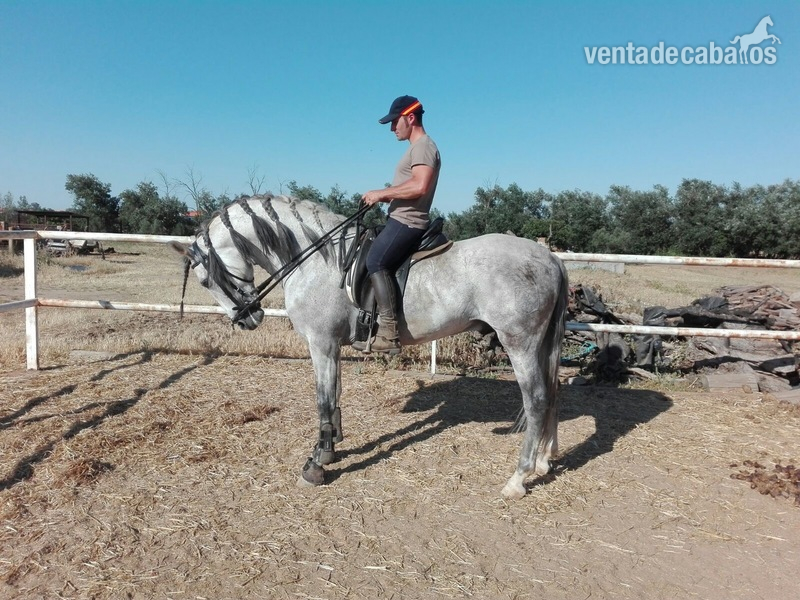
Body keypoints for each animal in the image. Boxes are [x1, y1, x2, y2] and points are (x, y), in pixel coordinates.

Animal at [171, 194, 568, 500]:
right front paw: (329, 450)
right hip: (541, 344)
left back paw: (518, 478)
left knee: (536, 400)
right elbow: (335, 396)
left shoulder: (321, 343)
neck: (317, 259)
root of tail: (550, 259)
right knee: (552, 393)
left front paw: (316, 464)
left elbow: (323, 400)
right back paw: (545, 460)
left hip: (519, 343)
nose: (245, 319)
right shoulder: (332, 346)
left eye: (204, 280)